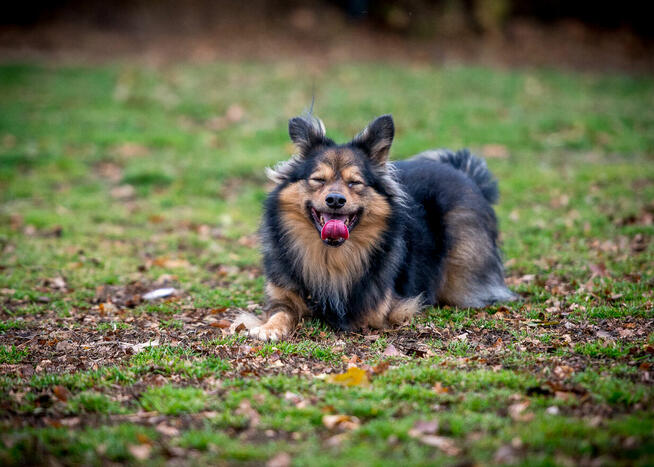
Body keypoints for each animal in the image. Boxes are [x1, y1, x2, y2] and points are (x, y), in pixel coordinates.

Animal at [236, 113, 516, 340]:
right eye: (318, 179)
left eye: (355, 183)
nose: (335, 200)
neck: (330, 255)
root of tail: (464, 172)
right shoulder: (281, 295)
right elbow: (280, 312)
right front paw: (268, 328)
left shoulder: (382, 307)